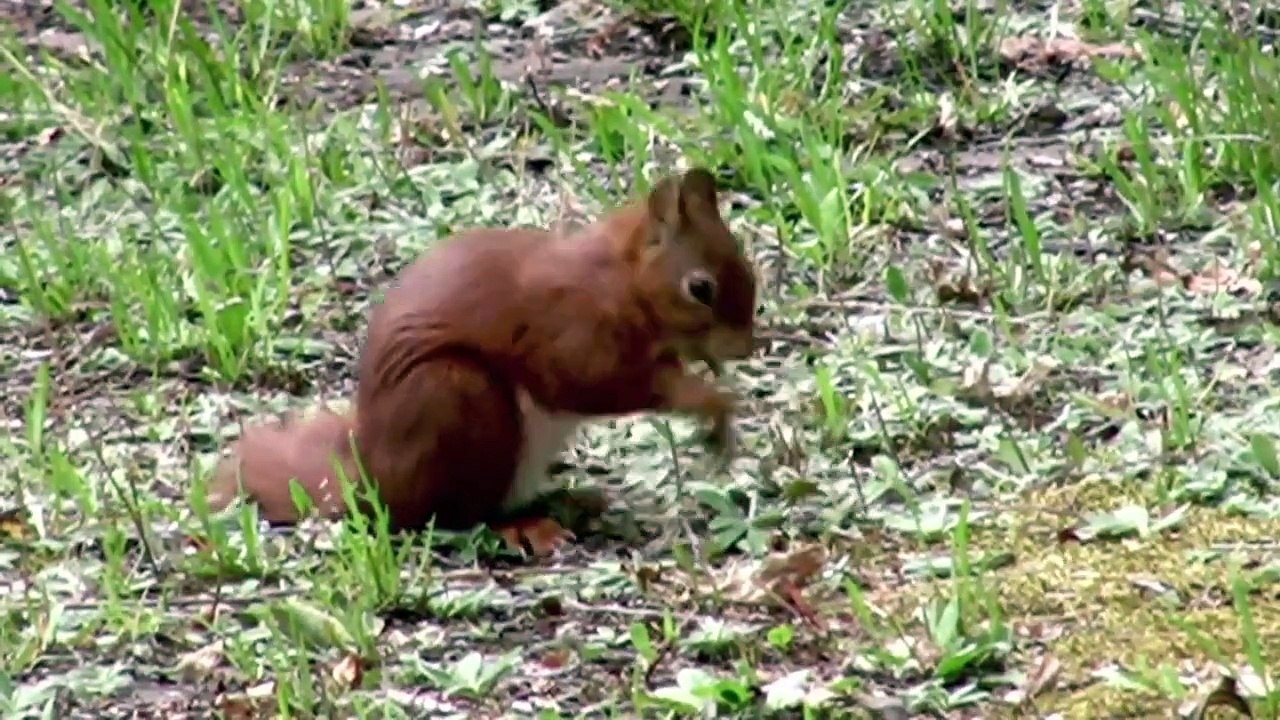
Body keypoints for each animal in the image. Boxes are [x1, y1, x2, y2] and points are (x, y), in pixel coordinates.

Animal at [201, 167, 758, 555]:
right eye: (700, 288)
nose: (745, 347)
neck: (619, 279)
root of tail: (374, 487)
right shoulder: (570, 330)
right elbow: (598, 383)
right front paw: (713, 403)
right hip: (458, 399)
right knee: (455, 515)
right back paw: (522, 526)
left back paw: (571, 500)